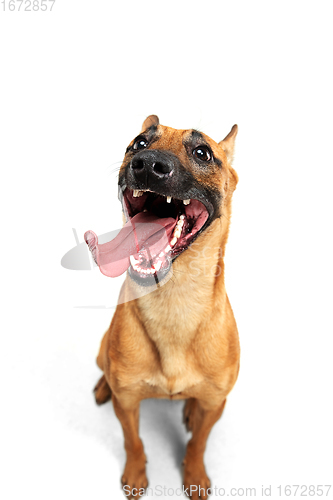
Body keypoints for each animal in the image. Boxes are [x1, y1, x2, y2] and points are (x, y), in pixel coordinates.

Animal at [87, 115, 240, 498]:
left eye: (203, 153)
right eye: (139, 143)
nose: (146, 164)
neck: (174, 301)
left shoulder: (216, 404)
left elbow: (199, 442)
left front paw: (195, 475)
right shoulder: (127, 403)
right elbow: (133, 441)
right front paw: (135, 473)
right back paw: (103, 386)